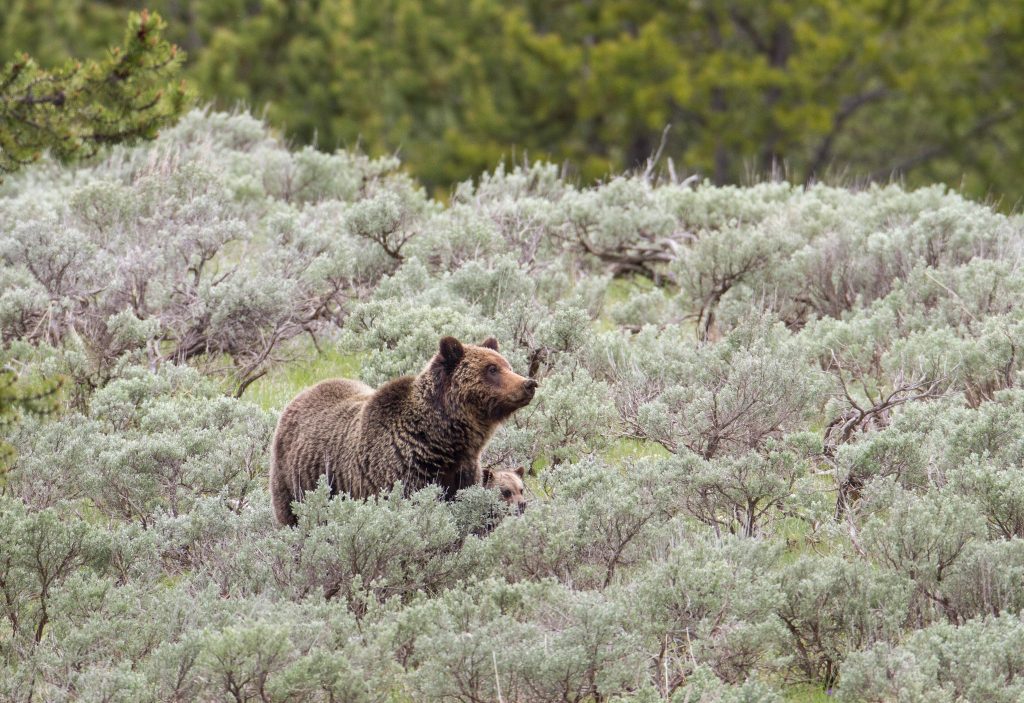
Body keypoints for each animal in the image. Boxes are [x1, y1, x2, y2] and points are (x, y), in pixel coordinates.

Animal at [270, 336, 537, 526]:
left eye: (506, 365)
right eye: (491, 369)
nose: (529, 383)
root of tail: (301, 395)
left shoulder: (462, 472)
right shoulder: (397, 473)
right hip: (295, 482)